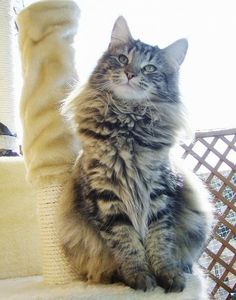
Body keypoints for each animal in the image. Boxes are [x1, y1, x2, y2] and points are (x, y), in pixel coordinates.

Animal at [58, 16, 212, 292]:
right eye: (122, 59)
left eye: (150, 68)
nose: (130, 73)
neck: (127, 123)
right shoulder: (105, 196)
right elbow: (127, 244)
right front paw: (140, 278)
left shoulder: (159, 193)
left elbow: (159, 241)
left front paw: (168, 277)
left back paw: (184, 269)